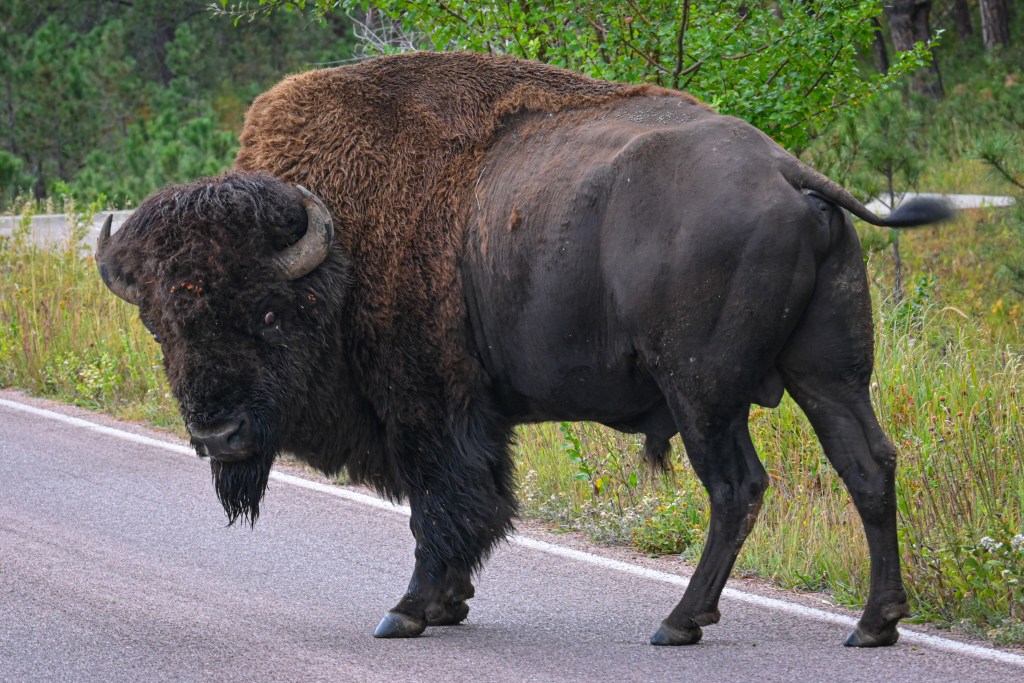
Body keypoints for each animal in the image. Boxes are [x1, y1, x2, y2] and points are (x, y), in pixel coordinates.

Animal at [97, 52, 950, 647]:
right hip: (828, 373)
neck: (339, 248)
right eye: (162, 322)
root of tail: (786, 170)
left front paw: (408, 611)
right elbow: (476, 504)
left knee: (737, 487)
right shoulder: (471, 417)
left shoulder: (429, 410)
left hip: (703, 393)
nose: (217, 433)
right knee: (868, 465)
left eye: (270, 312)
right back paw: (874, 623)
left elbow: (441, 507)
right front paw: (448, 604)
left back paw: (679, 621)